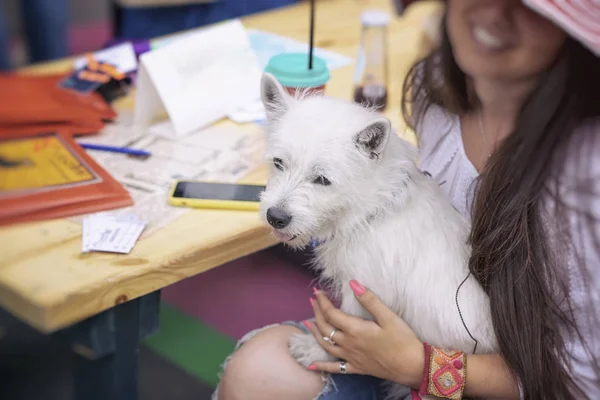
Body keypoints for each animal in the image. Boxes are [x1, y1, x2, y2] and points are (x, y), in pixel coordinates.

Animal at [258, 73, 496, 396]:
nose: (276, 217)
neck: (370, 212)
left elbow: (341, 327)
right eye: (278, 163)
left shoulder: (361, 294)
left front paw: (315, 350)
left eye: (322, 180)